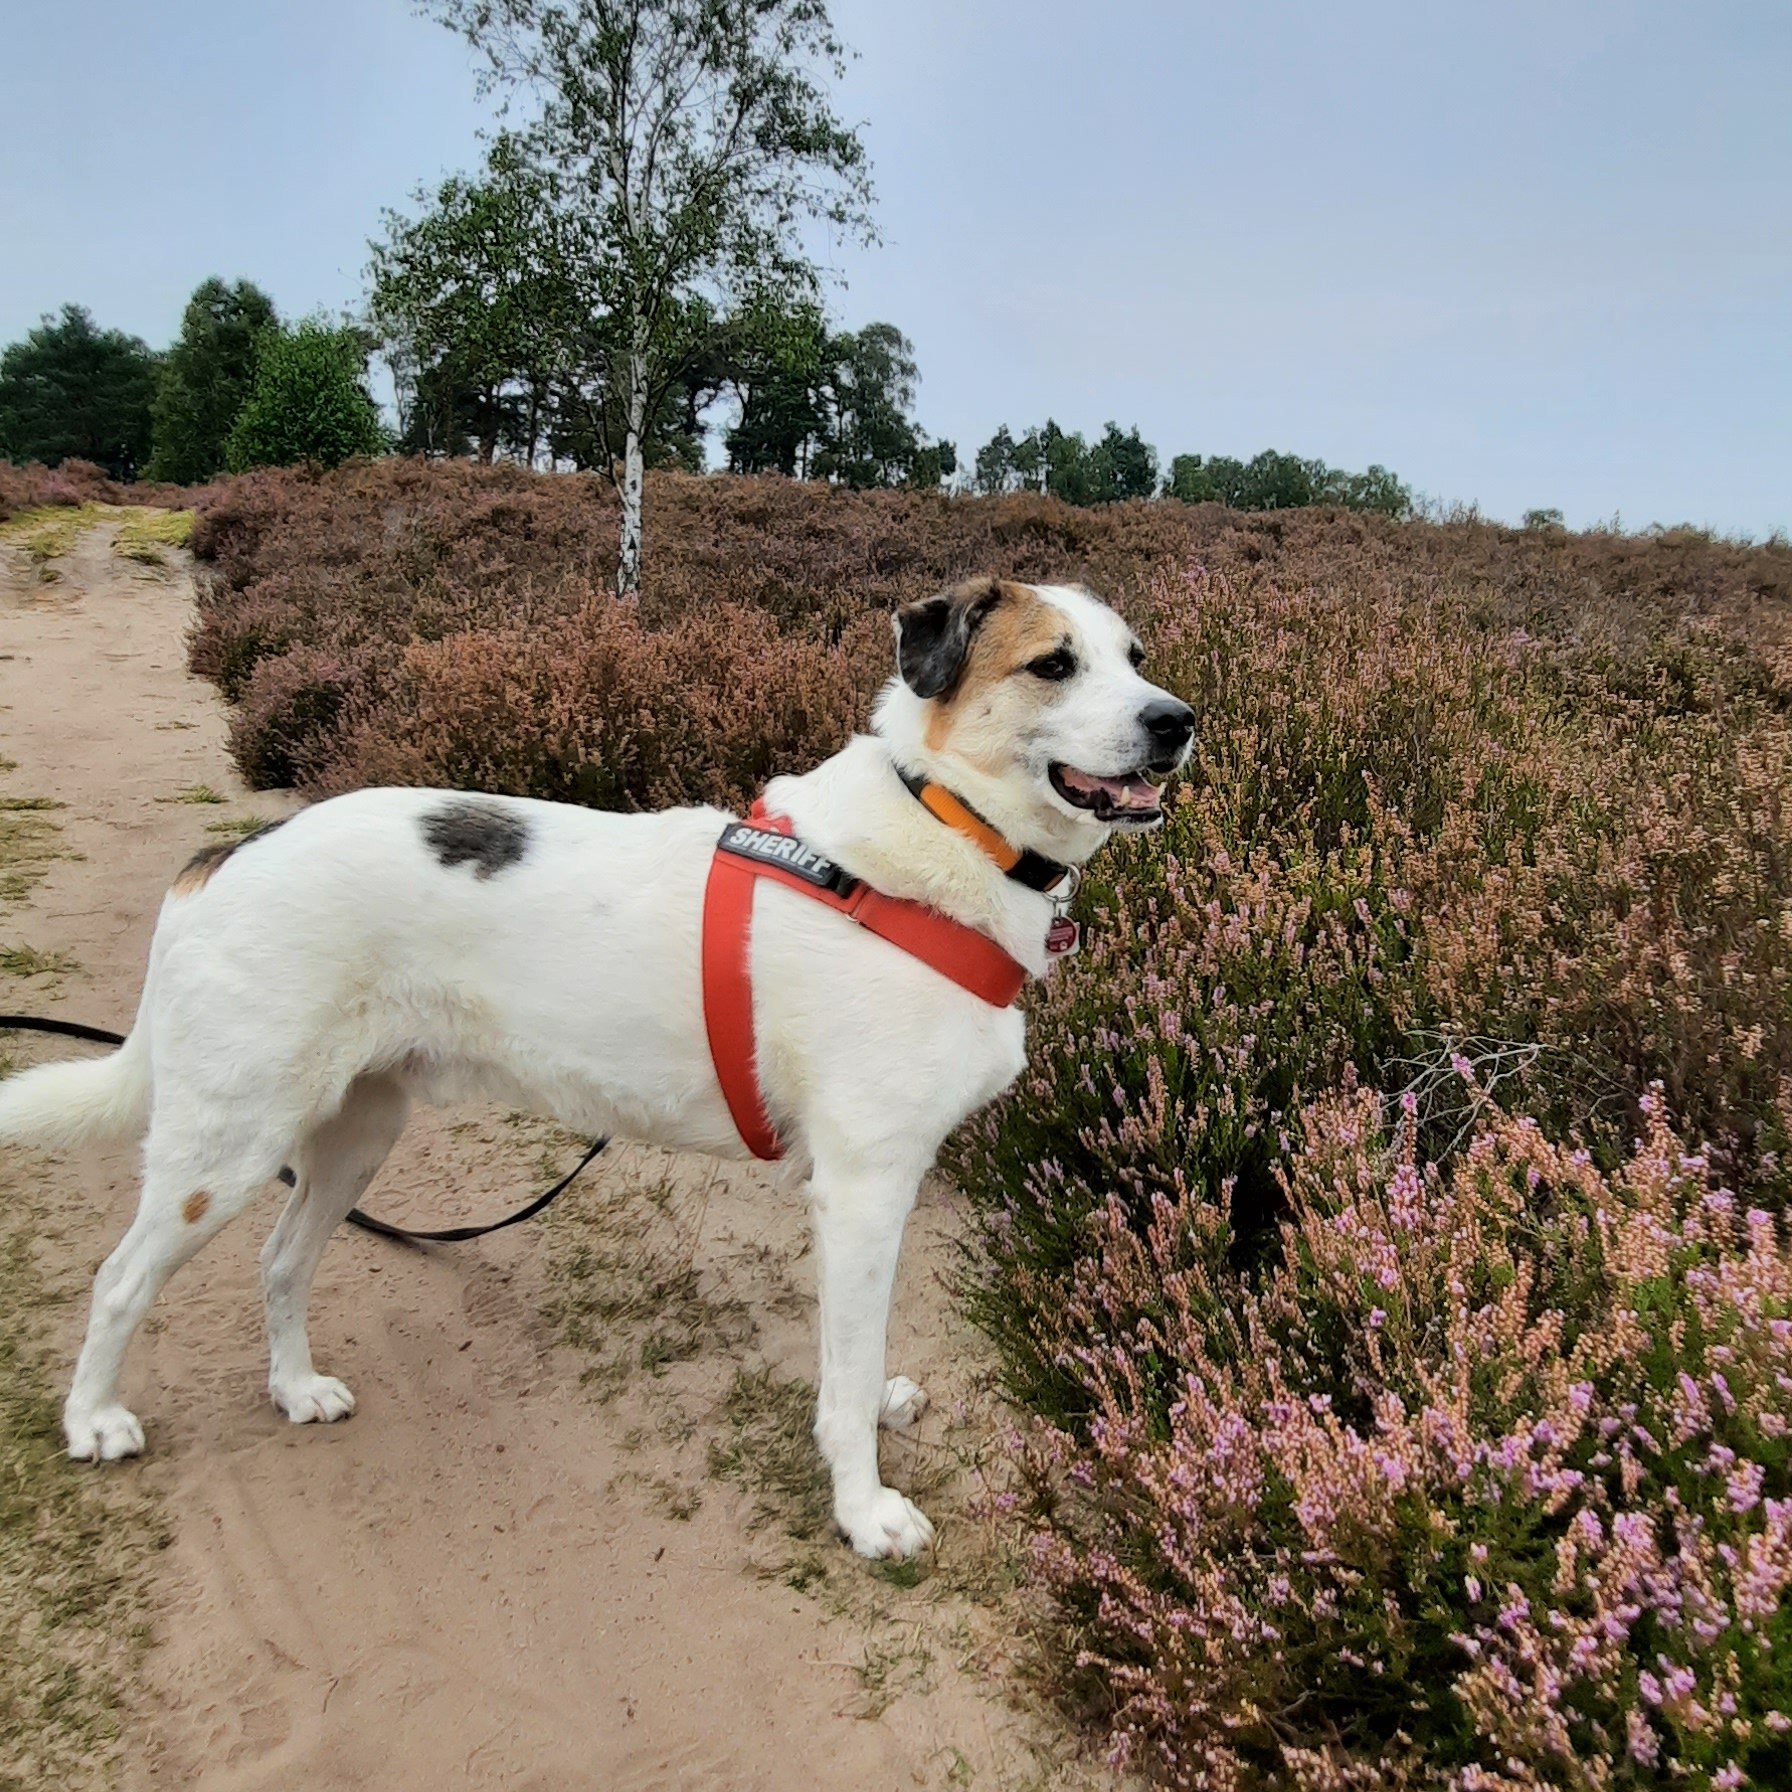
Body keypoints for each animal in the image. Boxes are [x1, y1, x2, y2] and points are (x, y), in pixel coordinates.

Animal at [0, 577, 1192, 1560]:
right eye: (1053, 663)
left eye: (1134, 654)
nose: (1176, 721)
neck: (944, 829)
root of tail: (231, 851)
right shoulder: (861, 1188)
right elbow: (845, 1379)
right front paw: (862, 1510)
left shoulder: (870, 1194)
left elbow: (858, 1355)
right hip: (227, 1143)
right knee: (121, 1278)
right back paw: (92, 1419)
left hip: (354, 1134)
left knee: (282, 1262)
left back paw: (294, 1388)